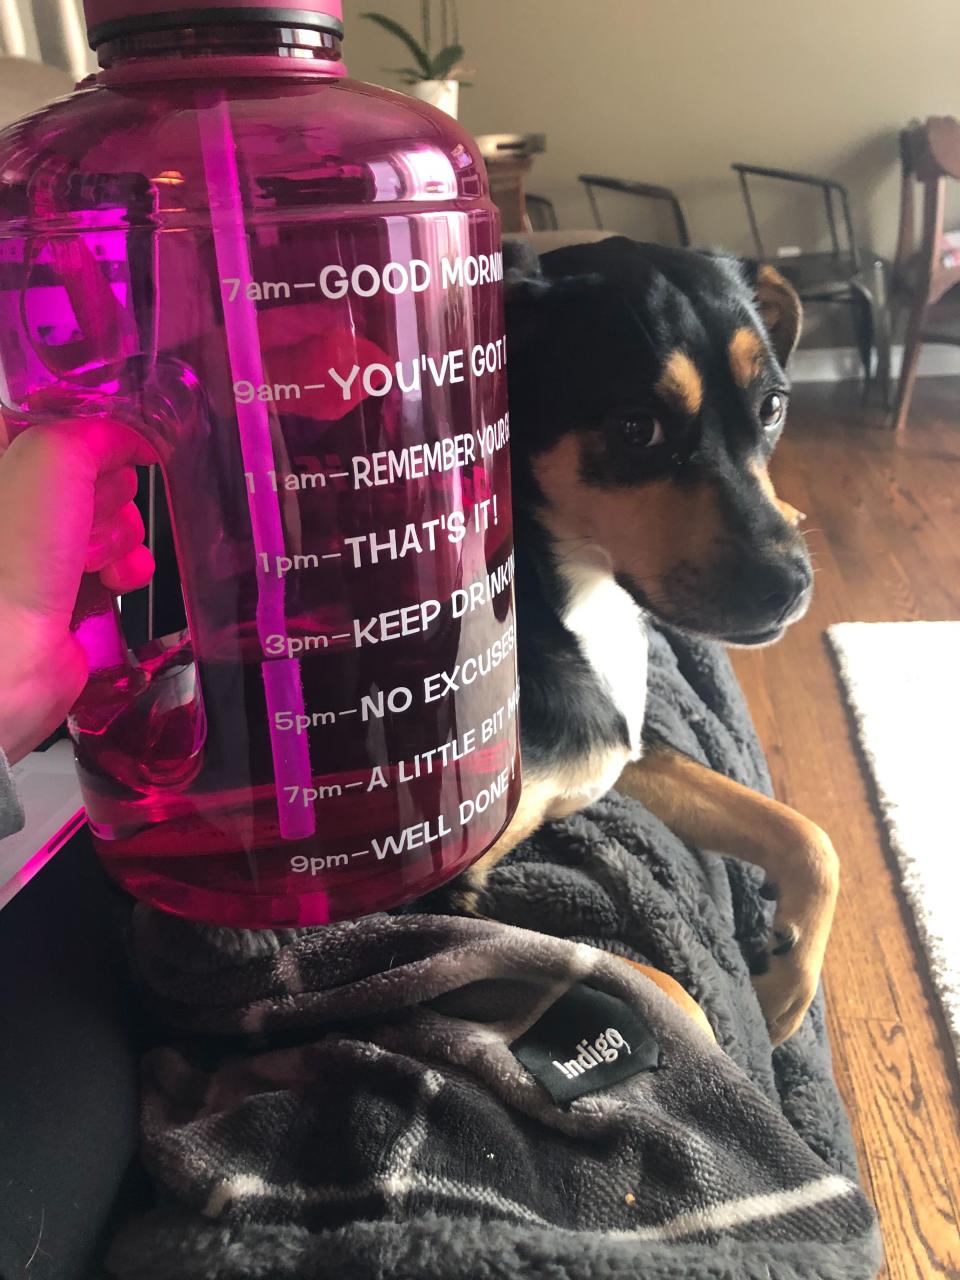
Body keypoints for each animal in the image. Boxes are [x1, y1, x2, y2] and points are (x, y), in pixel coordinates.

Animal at [448, 235, 839, 1044]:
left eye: (773, 407)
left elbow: (808, 835)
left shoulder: (623, 752)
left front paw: (788, 984)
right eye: (636, 428)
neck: (571, 591)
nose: (791, 586)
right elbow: (653, 985)